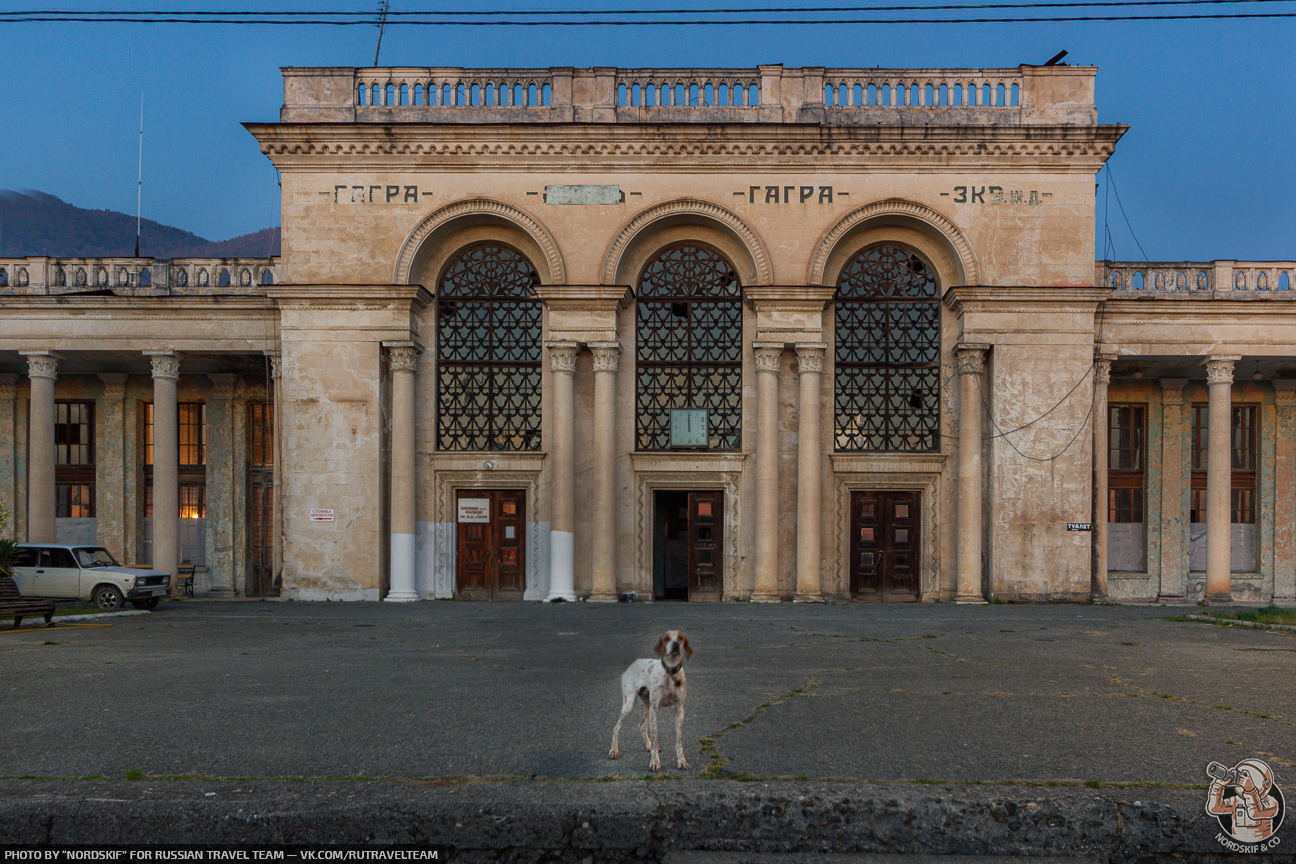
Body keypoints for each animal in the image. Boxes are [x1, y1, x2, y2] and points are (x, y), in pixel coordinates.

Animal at [609, 629, 694, 772]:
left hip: (648, 705)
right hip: (630, 704)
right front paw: (654, 762)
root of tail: (633, 664)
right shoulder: (656, 709)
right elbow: (655, 738)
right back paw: (614, 751)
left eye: (681, 638)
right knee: (616, 728)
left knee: (642, 726)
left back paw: (648, 746)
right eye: (666, 638)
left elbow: (679, 740)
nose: (676, 644)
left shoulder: (679, 710)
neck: (670, 673)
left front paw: (681, 761)